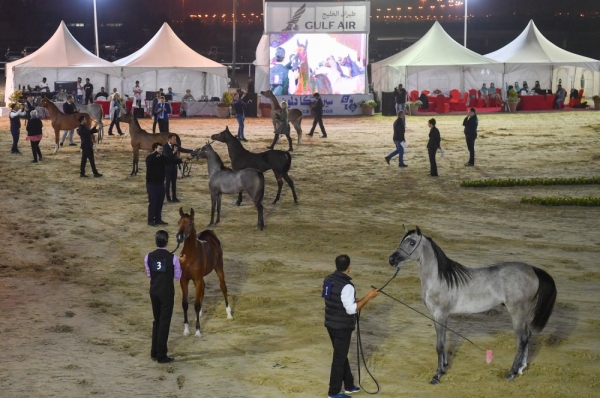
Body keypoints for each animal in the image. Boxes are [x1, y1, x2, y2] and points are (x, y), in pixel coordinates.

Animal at [176, 207, 232, 338]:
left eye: (190, 223)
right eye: (178, 222)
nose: (180, 236)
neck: (190, 255)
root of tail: (211, 232)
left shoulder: (197, 278)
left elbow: (196, 305)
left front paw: (197, 331)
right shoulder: (184, 280)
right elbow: (185, 304)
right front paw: (186, 330)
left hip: (219, 266)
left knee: (223, 287)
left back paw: (229, 314)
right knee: (203, 289)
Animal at [390, 225, 556, 384]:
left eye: (412, 243)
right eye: (402, 240)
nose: (392, 260)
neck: (439, 279)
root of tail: (532, 269)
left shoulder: (440, 314)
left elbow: (440, 345)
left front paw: (437, 376)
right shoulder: (438, 316)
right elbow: (443, 342)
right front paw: (444, 366)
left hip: (516, 312)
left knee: (521, 340)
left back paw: (511, 374)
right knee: (527, 335)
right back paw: (521, 368)